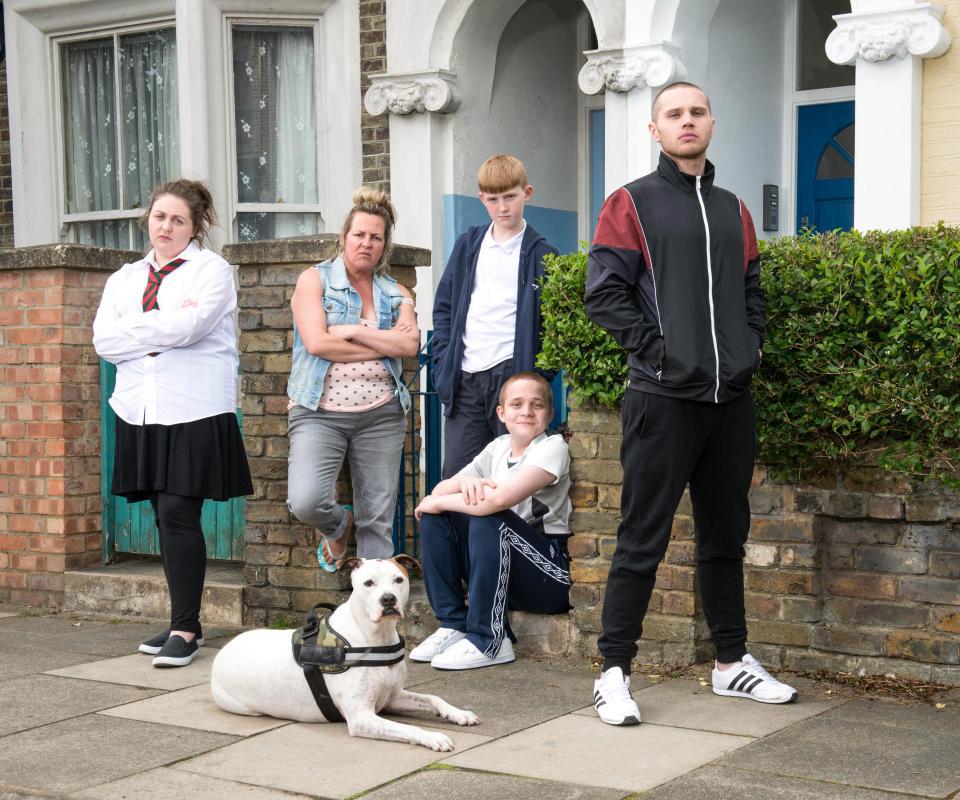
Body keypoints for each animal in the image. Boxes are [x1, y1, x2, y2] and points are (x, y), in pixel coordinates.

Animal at [211, 556, 480, 752]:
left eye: (398, 579)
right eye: (368, 583)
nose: (388, 599)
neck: (374, 637)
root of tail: (223, 650)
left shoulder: (391, 697)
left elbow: (433, 698)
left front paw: (459, 713)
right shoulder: (362, 717)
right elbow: (406, 728)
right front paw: (434, 737)